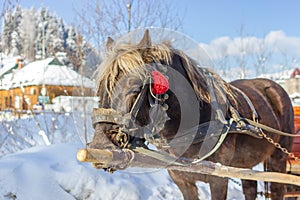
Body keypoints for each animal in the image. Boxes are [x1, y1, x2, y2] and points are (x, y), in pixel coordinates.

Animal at [88, 30, 292, 200]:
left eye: (135, 87)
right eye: (100, 90)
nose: (100, 145)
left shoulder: (218, 179)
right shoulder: (182, 179)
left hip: (278, 159)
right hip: (244, 165)